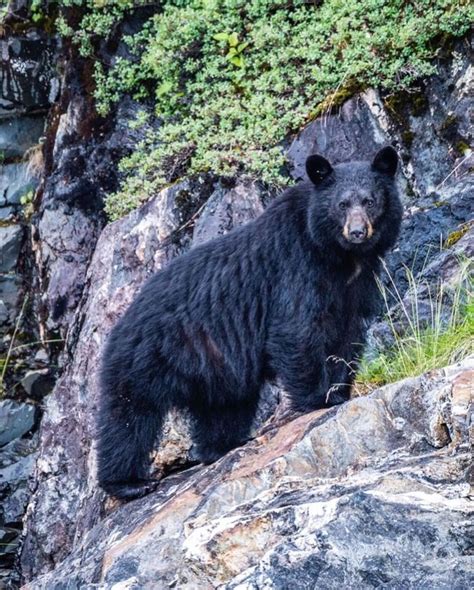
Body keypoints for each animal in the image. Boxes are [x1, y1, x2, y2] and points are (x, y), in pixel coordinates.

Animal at [98, 147, 402, 500]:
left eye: (370, 201)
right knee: (129, 416)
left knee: (224, 408)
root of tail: (122, 318)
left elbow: (347, 337)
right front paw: (318, 399)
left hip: (214, 366)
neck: (338, 256)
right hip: (147, 356)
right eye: (342, 204)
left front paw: (339, 390)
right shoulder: (296, 267)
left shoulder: (355, 287)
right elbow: (296, 330)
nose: (357, 232)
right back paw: (129, 482)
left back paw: (223, 445)